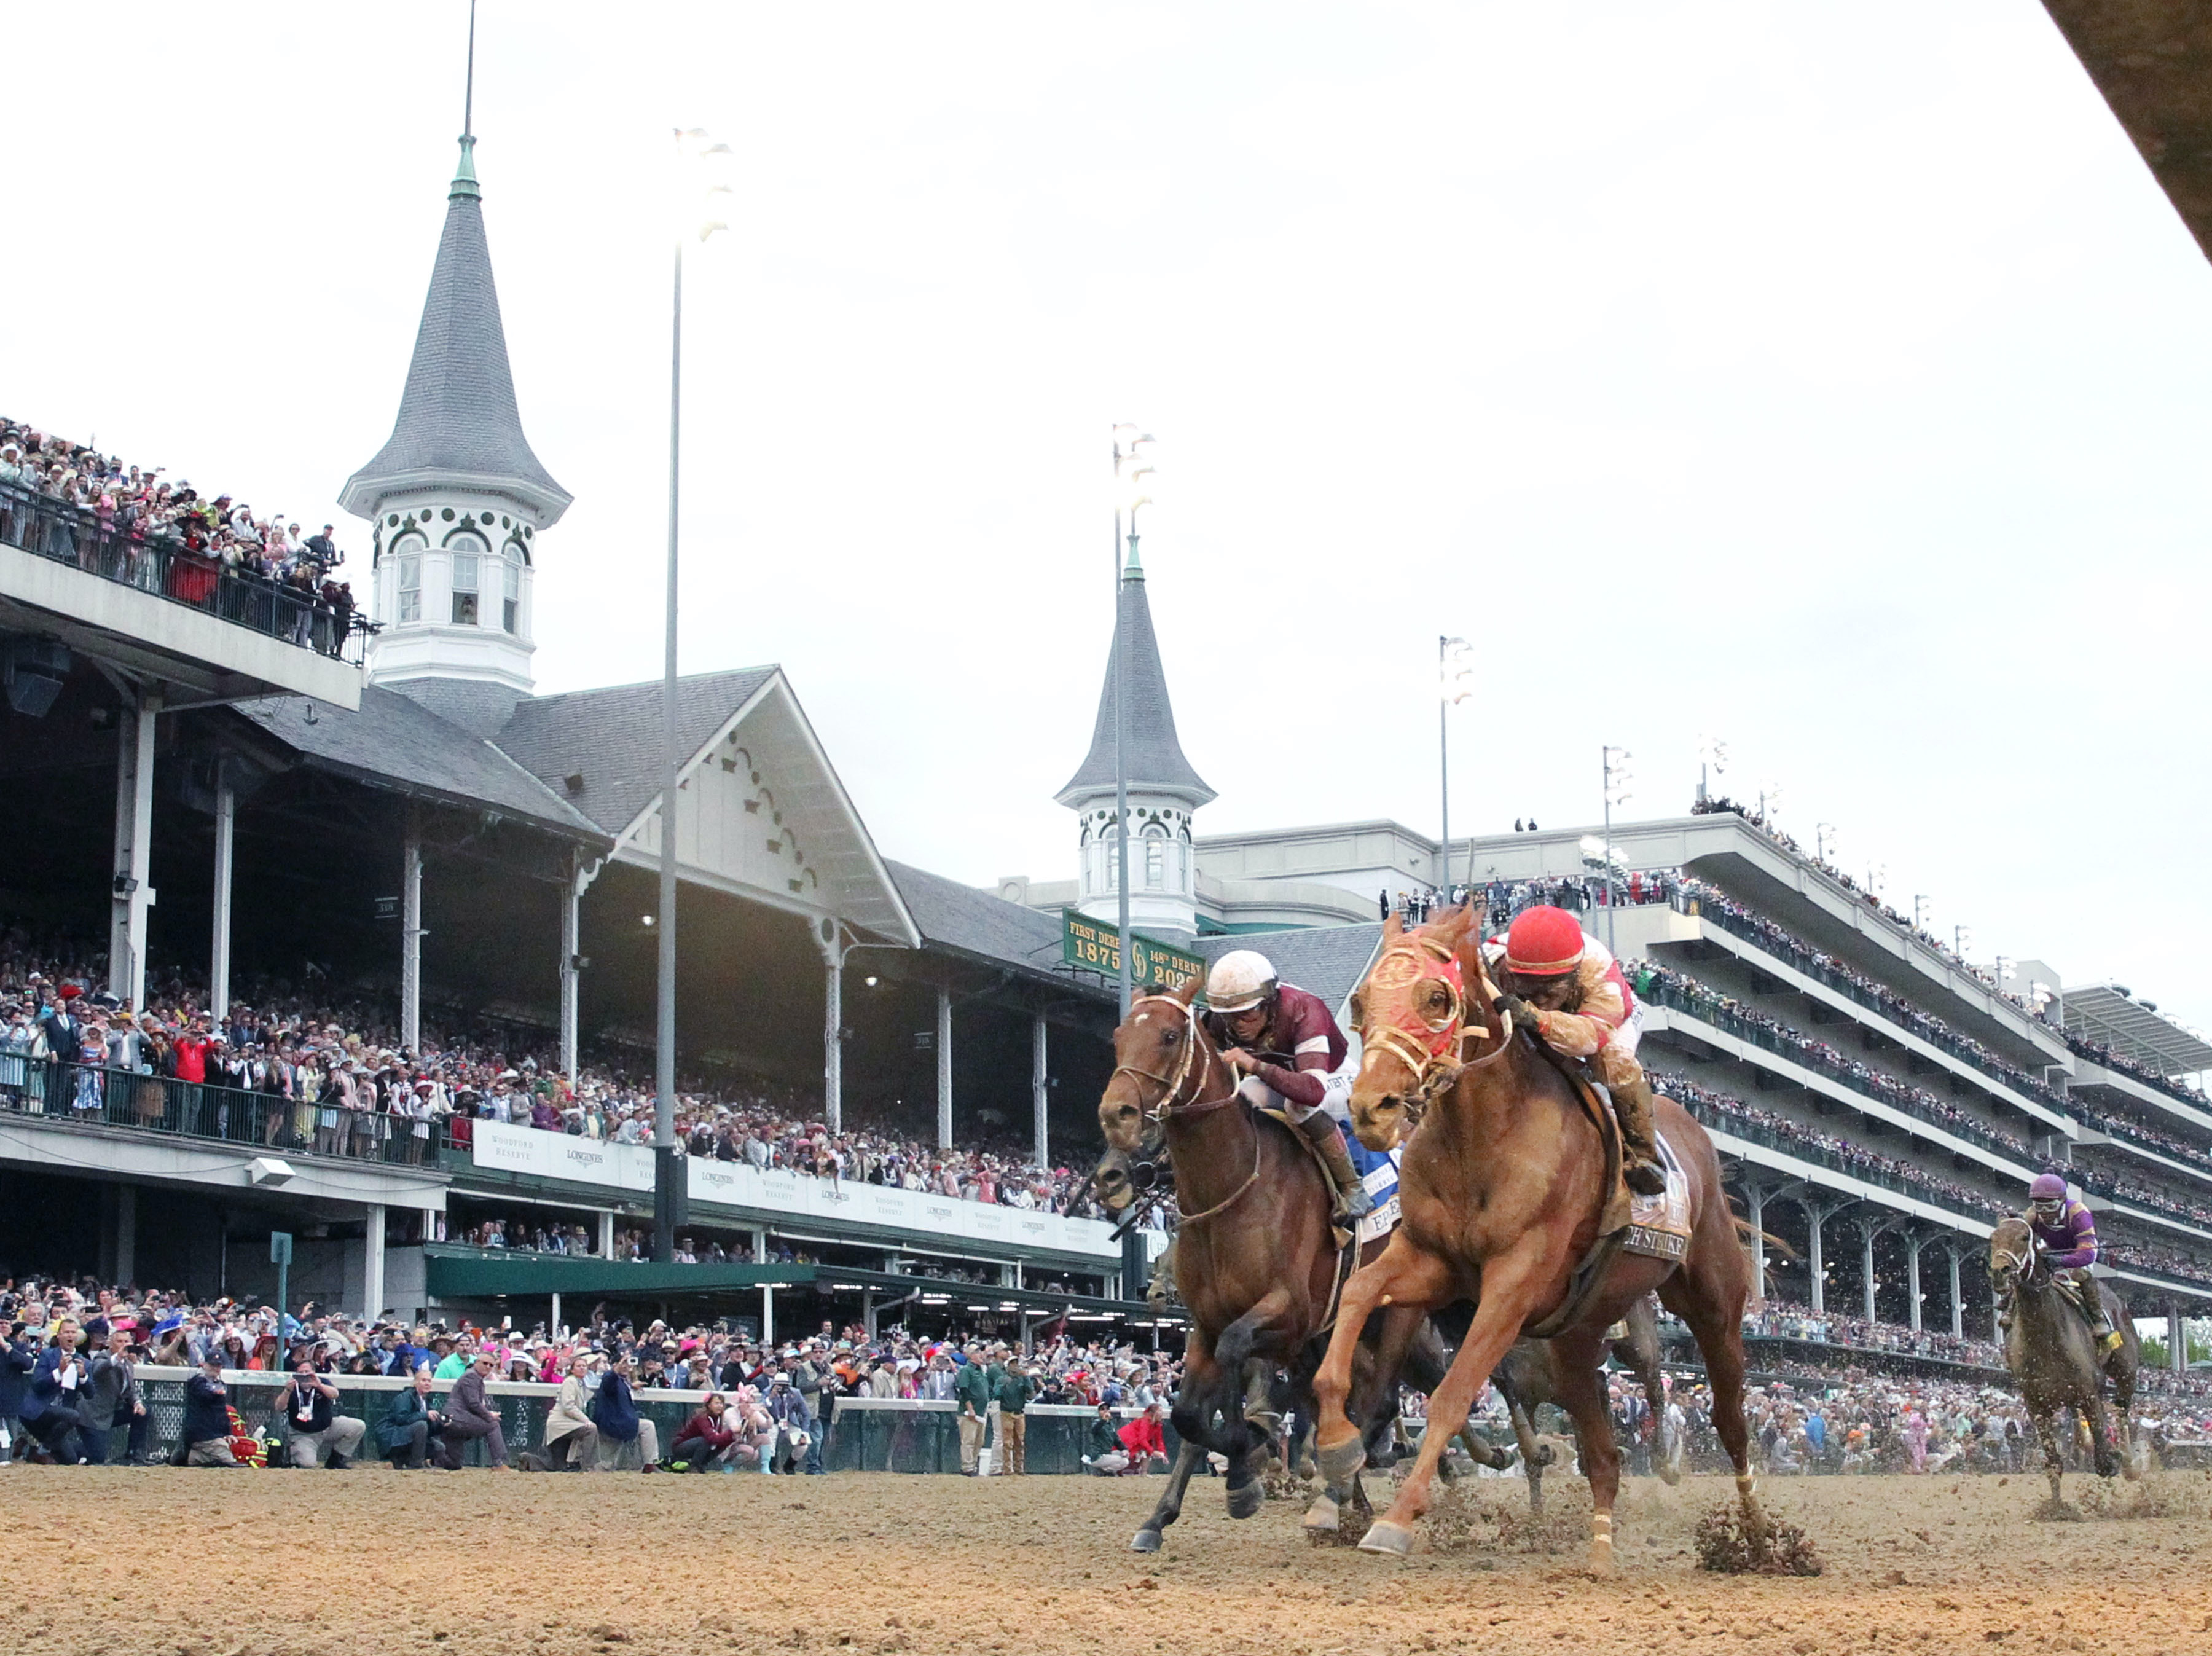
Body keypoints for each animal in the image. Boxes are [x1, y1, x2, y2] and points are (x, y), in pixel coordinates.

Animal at [1101, 977, 1477, 1547]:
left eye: (1169, 1035)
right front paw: (1174, 1508)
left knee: (1379, 1404)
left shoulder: (1290, 1311)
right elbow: (1189, 1416)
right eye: (1118, 1038)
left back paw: (1342, 1490)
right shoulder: (1207, 1323)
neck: (1234, 1188)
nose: (1115, 1116)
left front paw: (1246, 1462)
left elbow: (1239, 1362)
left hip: (1399, 1315)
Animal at [1309, 911, 1760, 1574]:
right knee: (1604, 1455)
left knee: (1729, 1421)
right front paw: (1339, 1446)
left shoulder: (1513, 1282)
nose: (1371, 1108)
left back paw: (1757, 1536)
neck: (1482, 1138)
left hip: (1712, 1307)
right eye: (1362, 1002)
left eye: (1437, 998)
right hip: (1578, 1334)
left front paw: (1396, 1518)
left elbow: (1454, 1392)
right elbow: (1360, 1293)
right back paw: (1600, 1550)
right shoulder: (1432, 1261)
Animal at [1991, 1211, 2141, 1494]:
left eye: (2024, 1237)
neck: (2044, 1338)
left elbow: (2103, 1460)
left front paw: (2115, 1460)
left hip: (2126, 1371)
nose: (1999, 1272)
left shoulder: (2090, 1393)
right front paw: (2056, 1503)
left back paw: (2129, 1463)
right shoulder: (2036, 1403)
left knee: (2122, 1409)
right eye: (1992, 1238)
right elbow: (2053, 1464)